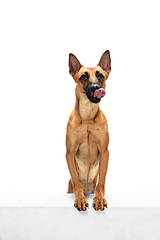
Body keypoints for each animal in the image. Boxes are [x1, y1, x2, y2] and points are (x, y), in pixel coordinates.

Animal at [65, 50, 110, 210]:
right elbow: (76, 180)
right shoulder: (70, 152)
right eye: (83, 76)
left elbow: (101, 181)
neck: (88, 117)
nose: (96, 87)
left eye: (100, 75)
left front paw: (99, 199)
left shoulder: (104, 151)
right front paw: (80, 199)